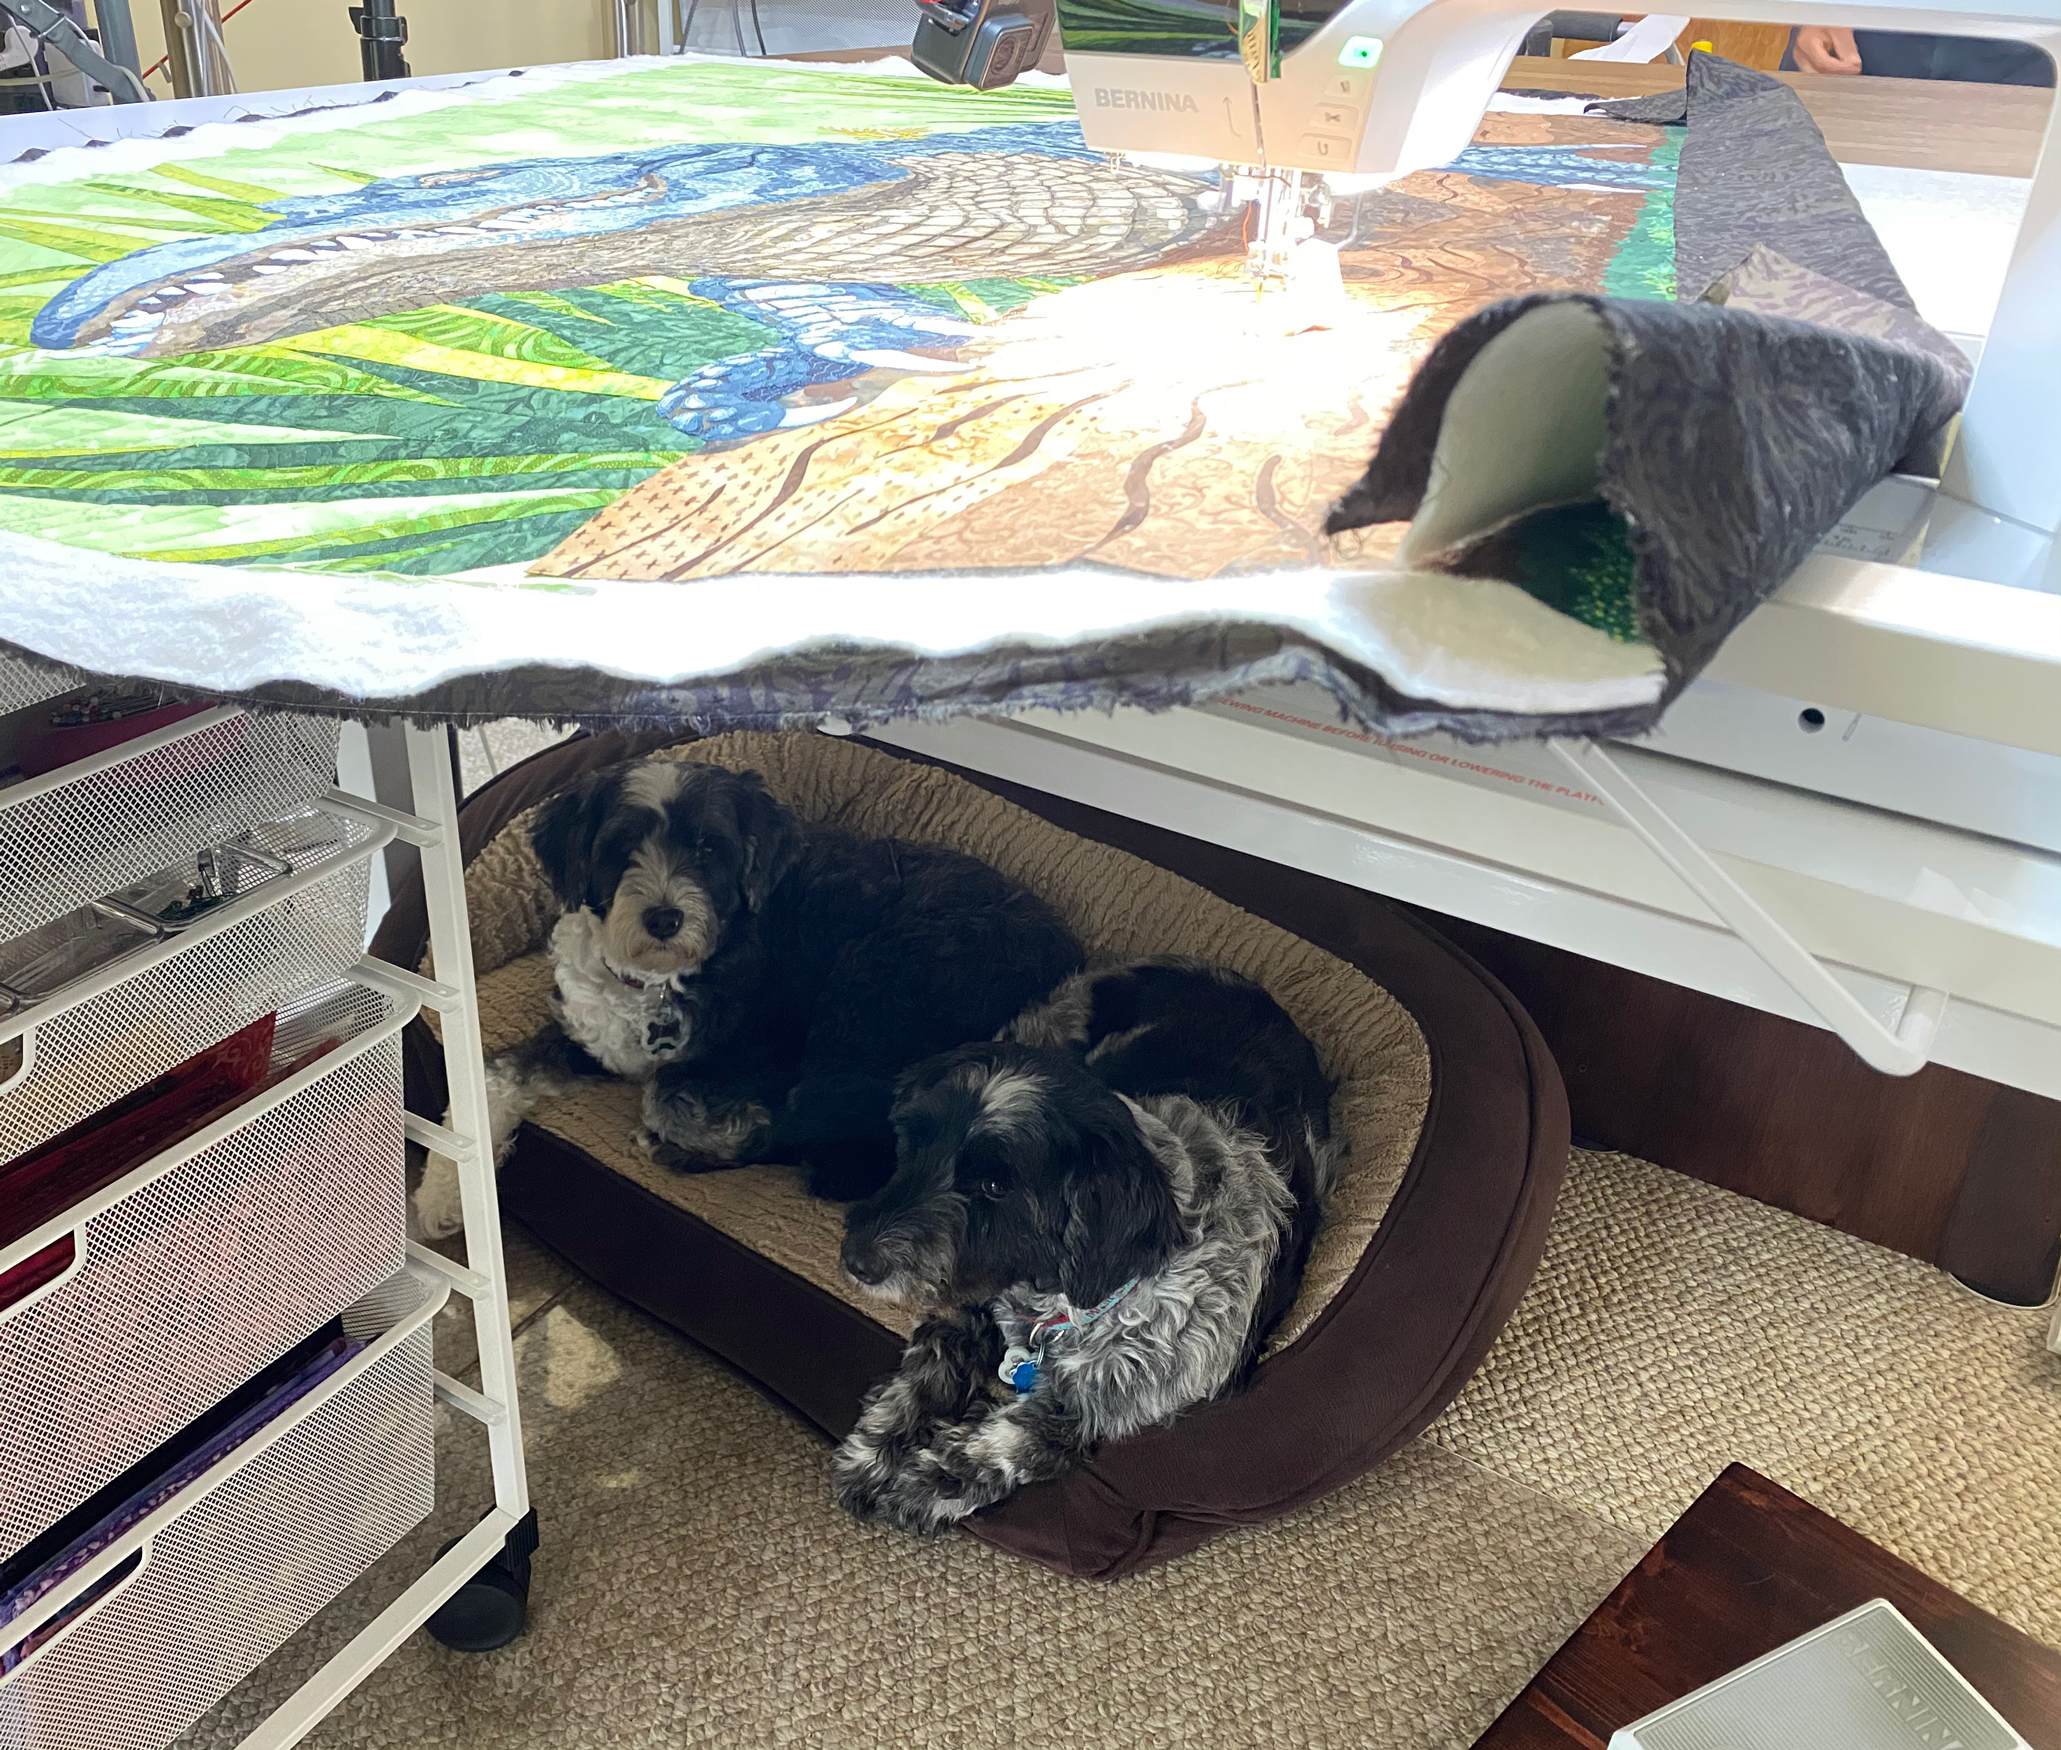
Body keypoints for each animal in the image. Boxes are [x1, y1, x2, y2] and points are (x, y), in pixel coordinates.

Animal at [414, 758, 1079, 1236]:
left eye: (709, 848)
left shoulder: (771, 1057)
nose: (664, 918)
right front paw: (444, 1195)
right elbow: (493, 1077)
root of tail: (1063, 966)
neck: (661, 979)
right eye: (621, 847)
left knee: (848, 1157)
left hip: (866, 999)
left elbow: (667, 1095)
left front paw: (699, 1130)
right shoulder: (589, 1038)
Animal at [832, 948, 1335, 1533]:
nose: (857, 1260)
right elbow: (925, 1373)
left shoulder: (1110, 1405)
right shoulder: (968, 1305)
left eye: (996, 1185)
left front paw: (926, 1483)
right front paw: (873, 1453)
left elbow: (1023, 1437)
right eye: (913, 1141)